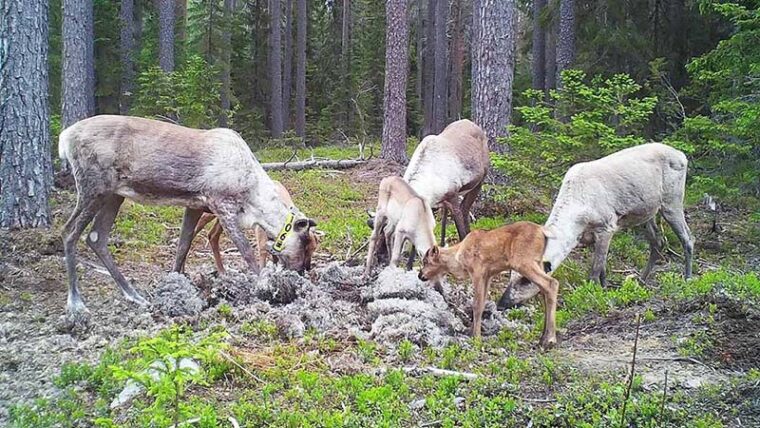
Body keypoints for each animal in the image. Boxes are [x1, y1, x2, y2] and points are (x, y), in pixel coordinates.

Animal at [416, 221, 560, 348]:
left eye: (426, 261)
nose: (420, 275)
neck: (458, 260)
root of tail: (543, 231)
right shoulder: (488, 276)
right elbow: (482, 303)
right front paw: (472, 331)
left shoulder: (478, 272)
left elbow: (477, 305)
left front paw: (476, 337)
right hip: (538, 262)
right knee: (543, 289)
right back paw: (542, 338)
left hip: (523, 262)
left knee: (551, 283)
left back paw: (550, 340)